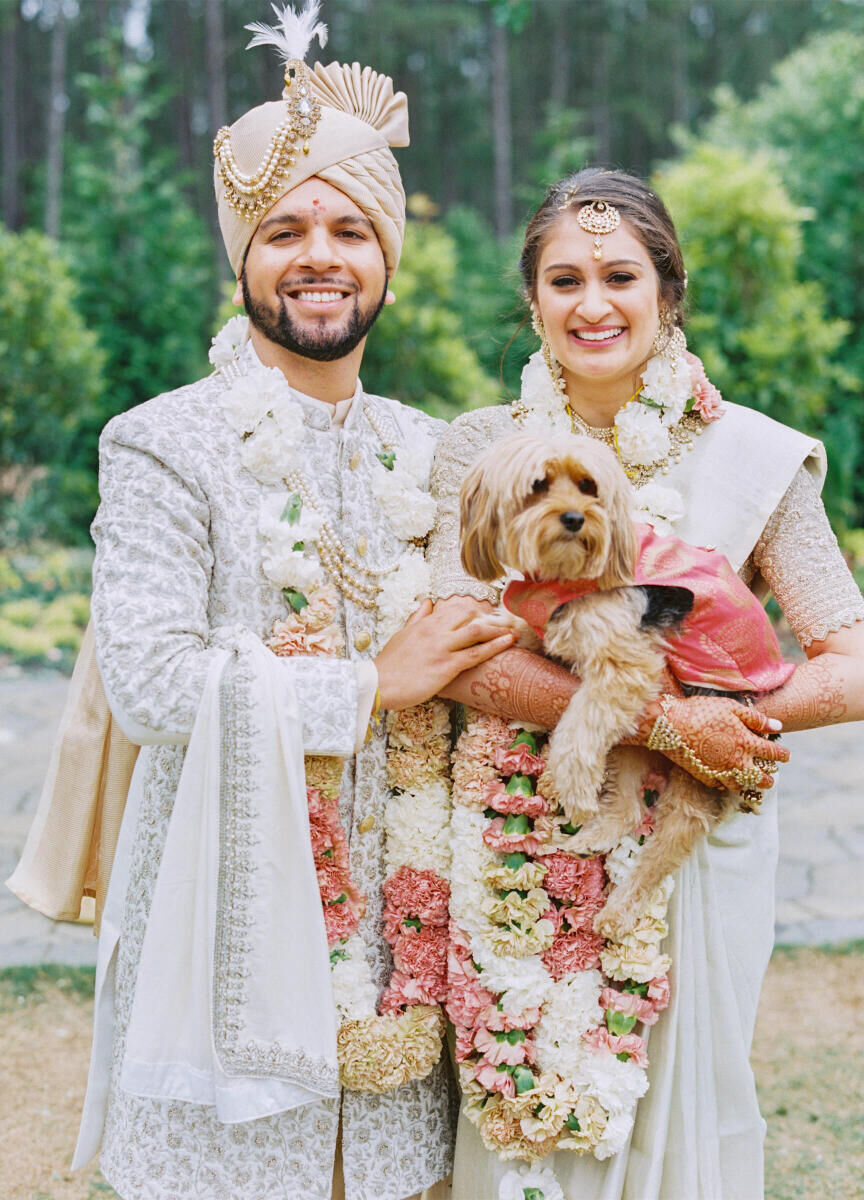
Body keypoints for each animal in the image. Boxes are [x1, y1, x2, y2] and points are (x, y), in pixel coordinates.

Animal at [463, 432, 787, 936]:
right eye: (537, 485)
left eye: (588, 486)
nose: (574, 518)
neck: (566, 574)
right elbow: (524, 636)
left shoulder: (626, 667)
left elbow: (577, 730)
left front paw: (573, 789)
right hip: (638, 737)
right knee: (630, 807)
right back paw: (590, 837)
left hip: (702, 758)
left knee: (673, 835)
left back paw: (618, 912)